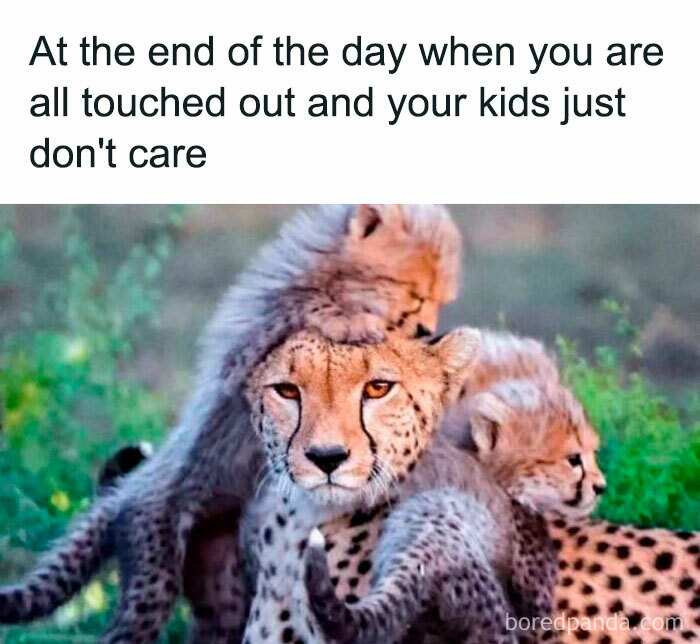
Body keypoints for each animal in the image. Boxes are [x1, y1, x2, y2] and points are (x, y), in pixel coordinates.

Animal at [0, 204, 462, 643]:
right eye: (415, 293)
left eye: (439, 298)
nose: (426, 329)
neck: (329, 270)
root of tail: (126, 492)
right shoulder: (257, 336)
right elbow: (312, 315)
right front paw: (358, 323)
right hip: (155, 567)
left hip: (219, 578)